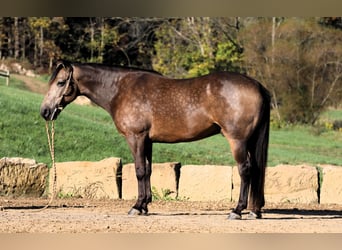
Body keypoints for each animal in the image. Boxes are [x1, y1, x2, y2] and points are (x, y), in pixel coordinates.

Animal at [40, 60, 270, 219]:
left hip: (238, 141)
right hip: (249, 141)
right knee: (256, 170)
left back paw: (237, 210)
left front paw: (136, 206)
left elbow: (140, 171)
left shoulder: (136, 138)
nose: (45, 112)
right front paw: (144, 206)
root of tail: (257, 85)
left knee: (245, 171)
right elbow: (148, 171)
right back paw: (254, 211)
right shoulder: (147, 141)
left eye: (60, 82)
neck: (120, 89)